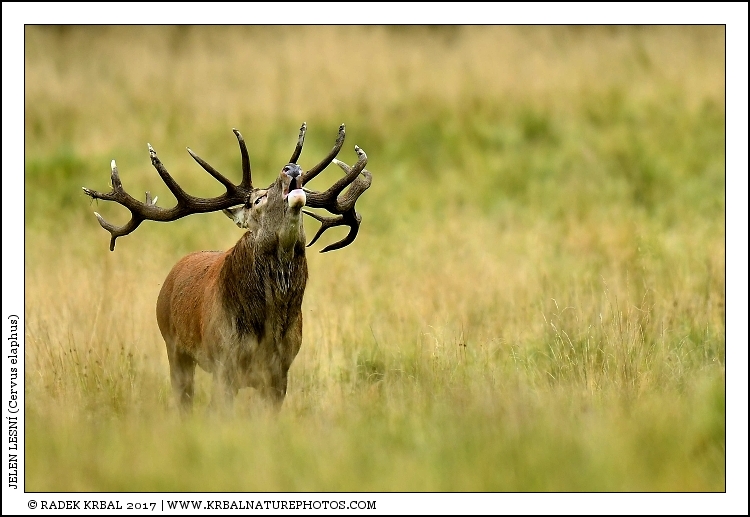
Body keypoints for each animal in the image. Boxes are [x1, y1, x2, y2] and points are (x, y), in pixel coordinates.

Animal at [82, 123, 372, 411]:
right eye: (257, 200)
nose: (291, 168)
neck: (269, 326)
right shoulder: (224, 362)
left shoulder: (281, 369)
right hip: (173, 346)